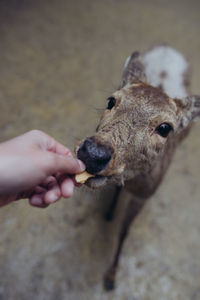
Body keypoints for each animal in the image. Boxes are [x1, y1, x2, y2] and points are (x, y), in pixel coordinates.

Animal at [74, 46, 199, 290]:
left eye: (165, 128)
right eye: (111, 101)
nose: (93, 152)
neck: (135, 180)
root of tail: (168, 48)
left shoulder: (145, 194)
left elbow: (125, 230)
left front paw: (111, 278)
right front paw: (109, 212)